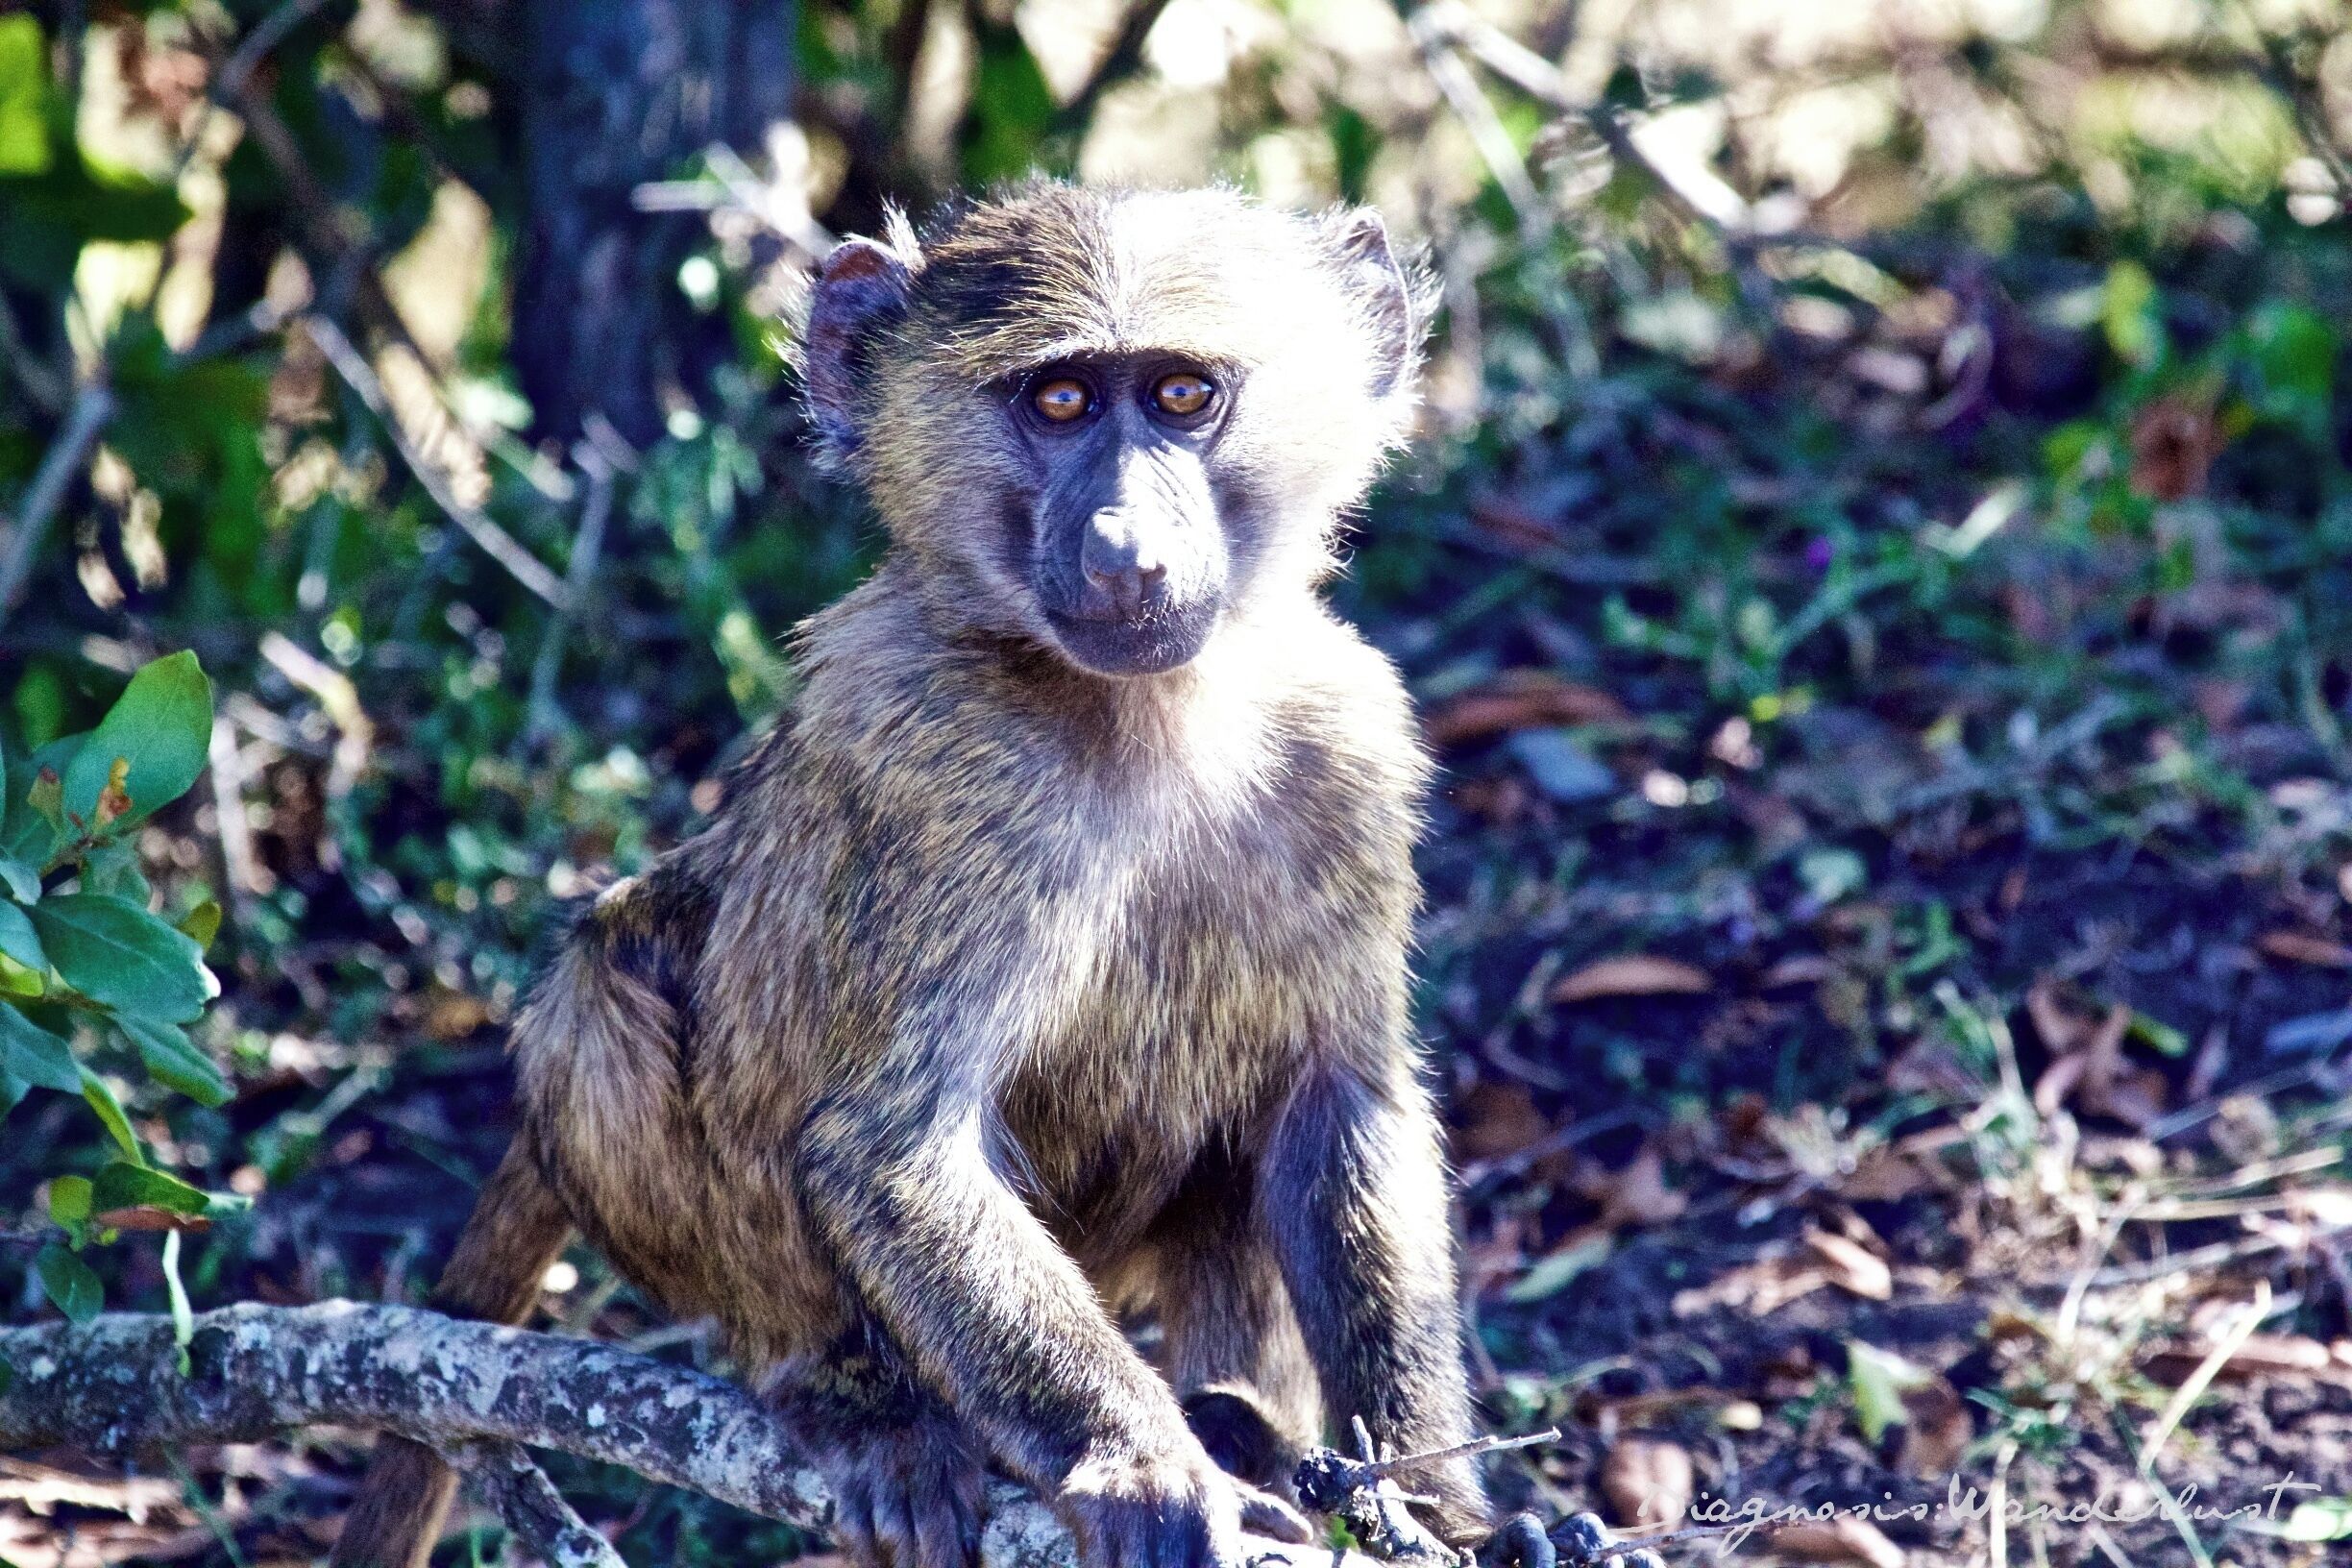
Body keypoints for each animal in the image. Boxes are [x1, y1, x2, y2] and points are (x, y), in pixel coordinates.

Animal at [331, 182, 1496, 1568]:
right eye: (1059, 402)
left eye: (1181, 395)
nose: (1123, 550)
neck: (1157, 713)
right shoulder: (948, 772)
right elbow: (892, 1146)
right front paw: (1142, 1467)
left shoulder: (1350, 748)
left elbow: (1339, 1106)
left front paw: (1435, 1505)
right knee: (602, 982)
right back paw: (855, 1396)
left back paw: (1241, 1416)